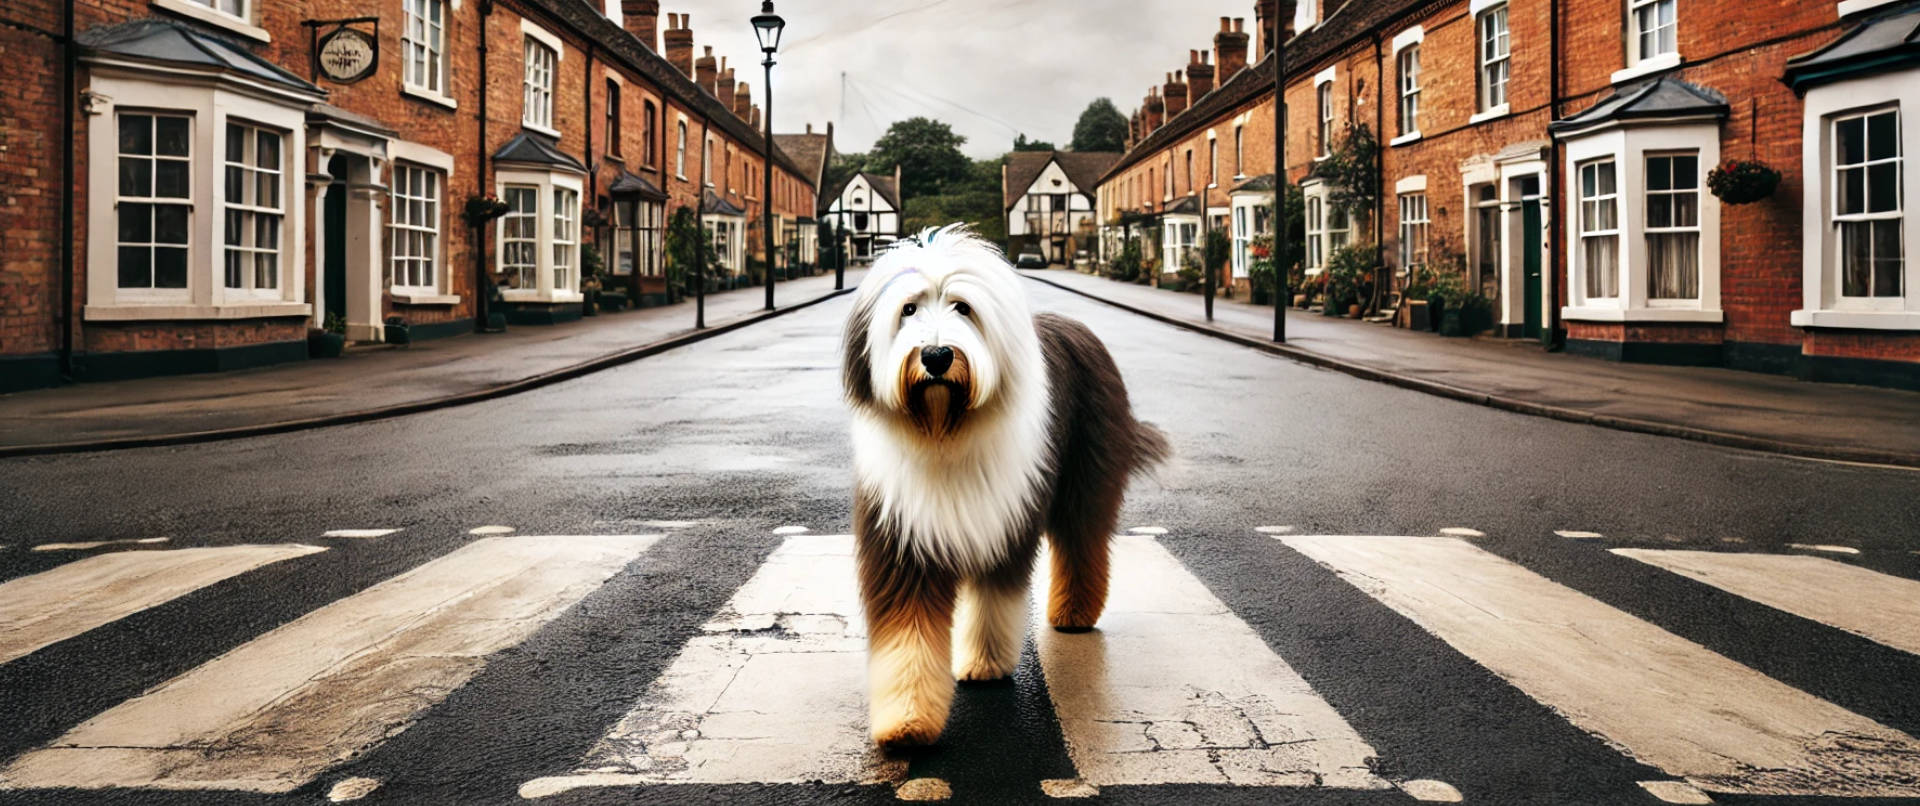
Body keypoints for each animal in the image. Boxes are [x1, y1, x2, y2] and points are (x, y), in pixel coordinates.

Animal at [844, 223, 1167, 744]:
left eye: (963, 307)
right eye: (908, 309)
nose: (937, 355)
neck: (944, 431)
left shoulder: (1003, 519)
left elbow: (993, 602)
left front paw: (983, 663)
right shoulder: (902, 534)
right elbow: (908, 633)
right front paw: (906, 721)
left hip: (1085, 476)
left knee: (1082, 542)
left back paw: (1074, 613)